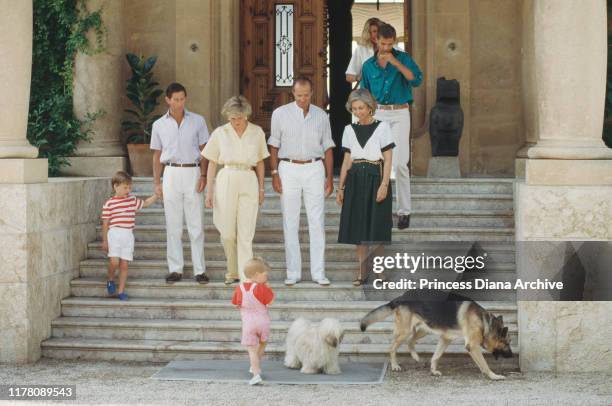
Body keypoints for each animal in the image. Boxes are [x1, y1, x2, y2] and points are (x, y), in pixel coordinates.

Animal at [358, 292, 512, 380]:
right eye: (507, 343)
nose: (512, 356)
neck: (485, 322)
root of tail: (401, 297)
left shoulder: (445, 339)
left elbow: (436, 356)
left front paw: (433, 370)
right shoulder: (472, 346)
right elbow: (484, 363)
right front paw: (493, 375)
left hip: (423, 329)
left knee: (410, 342)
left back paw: (415, 357)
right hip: (406, 331)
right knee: (392, 347)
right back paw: (395, 365)